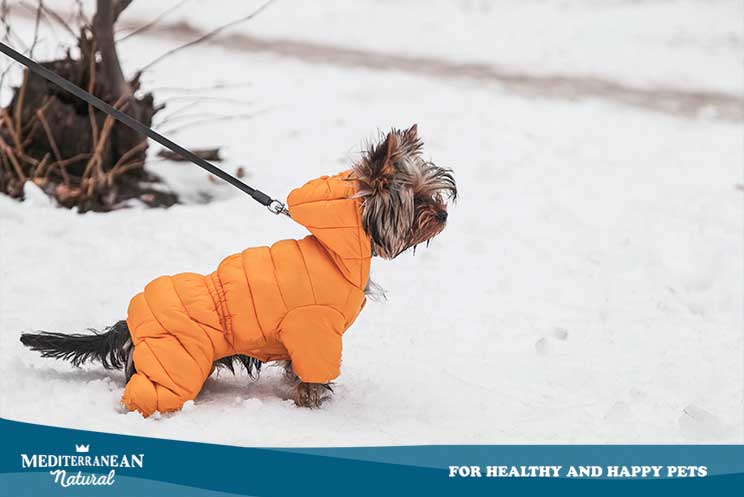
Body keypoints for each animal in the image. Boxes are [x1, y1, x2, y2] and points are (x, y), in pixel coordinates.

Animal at [20, 124, 456, 414]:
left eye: (433, 193)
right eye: (418, 198)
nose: (443, 214)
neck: (338, 247)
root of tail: (128, 325)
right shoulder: (313, 330)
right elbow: (311, 374)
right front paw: (313, 404)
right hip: (178, 365)